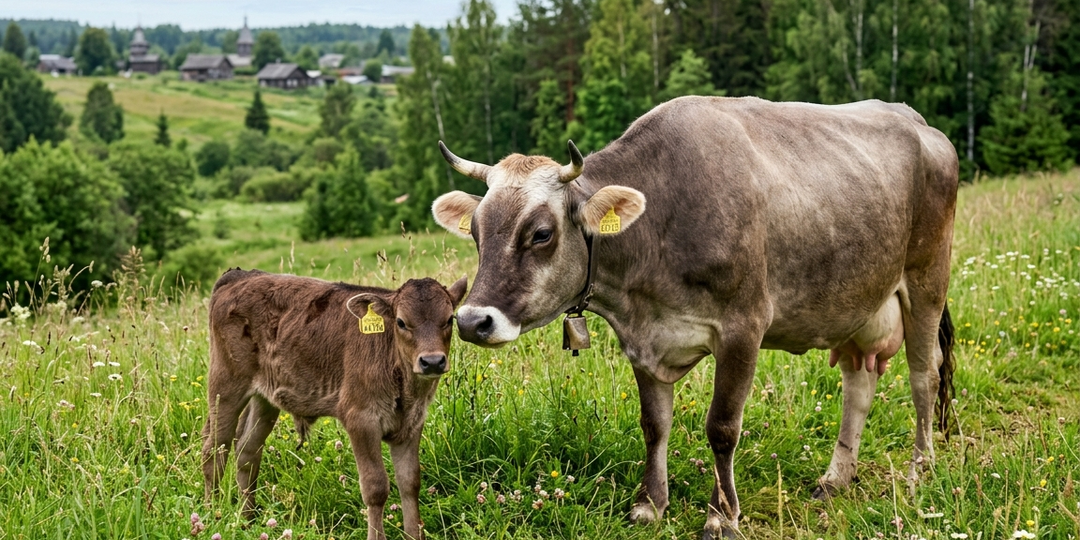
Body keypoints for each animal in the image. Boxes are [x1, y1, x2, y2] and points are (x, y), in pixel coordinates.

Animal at [201, 268, 468, 540]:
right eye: (401, 322)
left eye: (449, 319)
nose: (432, 361)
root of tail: (242, 275)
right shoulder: (360, 419)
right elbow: (375, 487)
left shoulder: (411, 423)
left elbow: (410, 482)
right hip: (225, 386)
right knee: (214, 449)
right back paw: (212, 514)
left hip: (264, 398)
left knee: (247, 450)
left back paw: (248, 520)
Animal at [431, 96, 957, 538]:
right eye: (475, 231)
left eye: (541, 233)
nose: (472, 321)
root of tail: (919, 122)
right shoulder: (642, 341)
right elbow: (653, 424)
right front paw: (650, 504)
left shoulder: (744, 327)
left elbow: (722, 428)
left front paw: (721, 516)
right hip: (858, 303)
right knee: (858, 386)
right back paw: (836, 477)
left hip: (927, 281)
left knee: (923, 376)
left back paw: (920, 468)